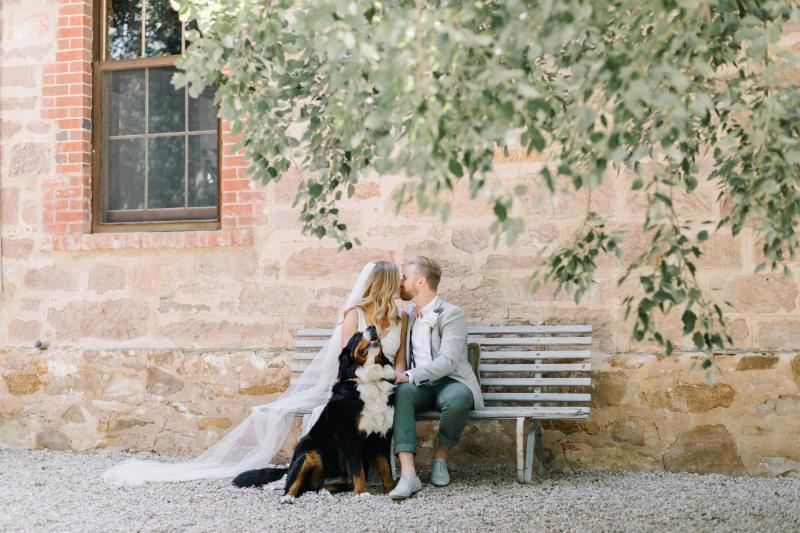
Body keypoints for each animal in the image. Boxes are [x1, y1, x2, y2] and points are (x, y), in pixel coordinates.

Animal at [231, 324, 396, 502]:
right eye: (357, 336)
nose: (372, 327)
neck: (370, 381)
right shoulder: (351, 437)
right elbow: (357, 470)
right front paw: (362, 492)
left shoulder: (382, 436)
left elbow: (386, 468)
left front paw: (392, 489)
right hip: (307, 454)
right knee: (294, 484)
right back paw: (288, 497)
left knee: (323, 485)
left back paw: (324, 491)